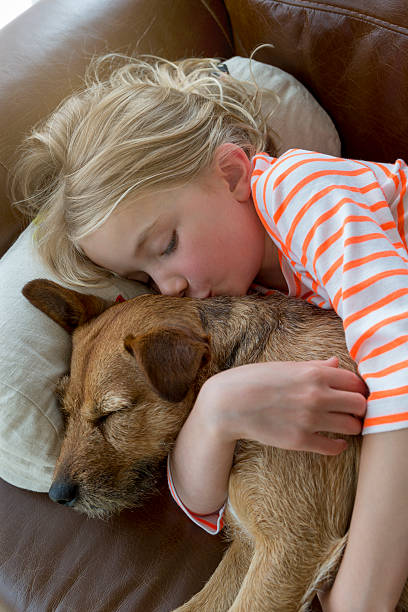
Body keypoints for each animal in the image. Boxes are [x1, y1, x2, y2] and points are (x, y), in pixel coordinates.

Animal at [23, 278, 408, 612]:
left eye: (112, 413)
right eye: (64, 410)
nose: (58, 495)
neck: (243, 363)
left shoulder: (291, 547)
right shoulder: (249, 543)